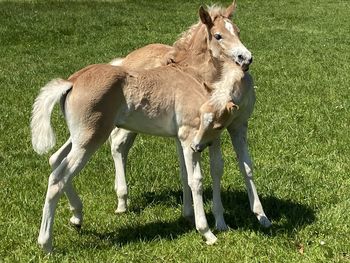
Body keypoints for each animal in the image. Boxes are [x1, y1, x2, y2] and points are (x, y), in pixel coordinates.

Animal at [30, 5, 250, 254]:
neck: (189, 74)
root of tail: (72, 82)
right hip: (90, 139)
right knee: (57, 178)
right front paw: (207, 233)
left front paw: (191, 216)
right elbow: (197, 180)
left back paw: (77, 215)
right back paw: (46, 243)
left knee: (55, 159)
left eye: (238, 31)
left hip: (78, 137)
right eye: (218, 35)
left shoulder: (184, 137)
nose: (246, 58)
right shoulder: (189, 136)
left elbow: (187, 174)